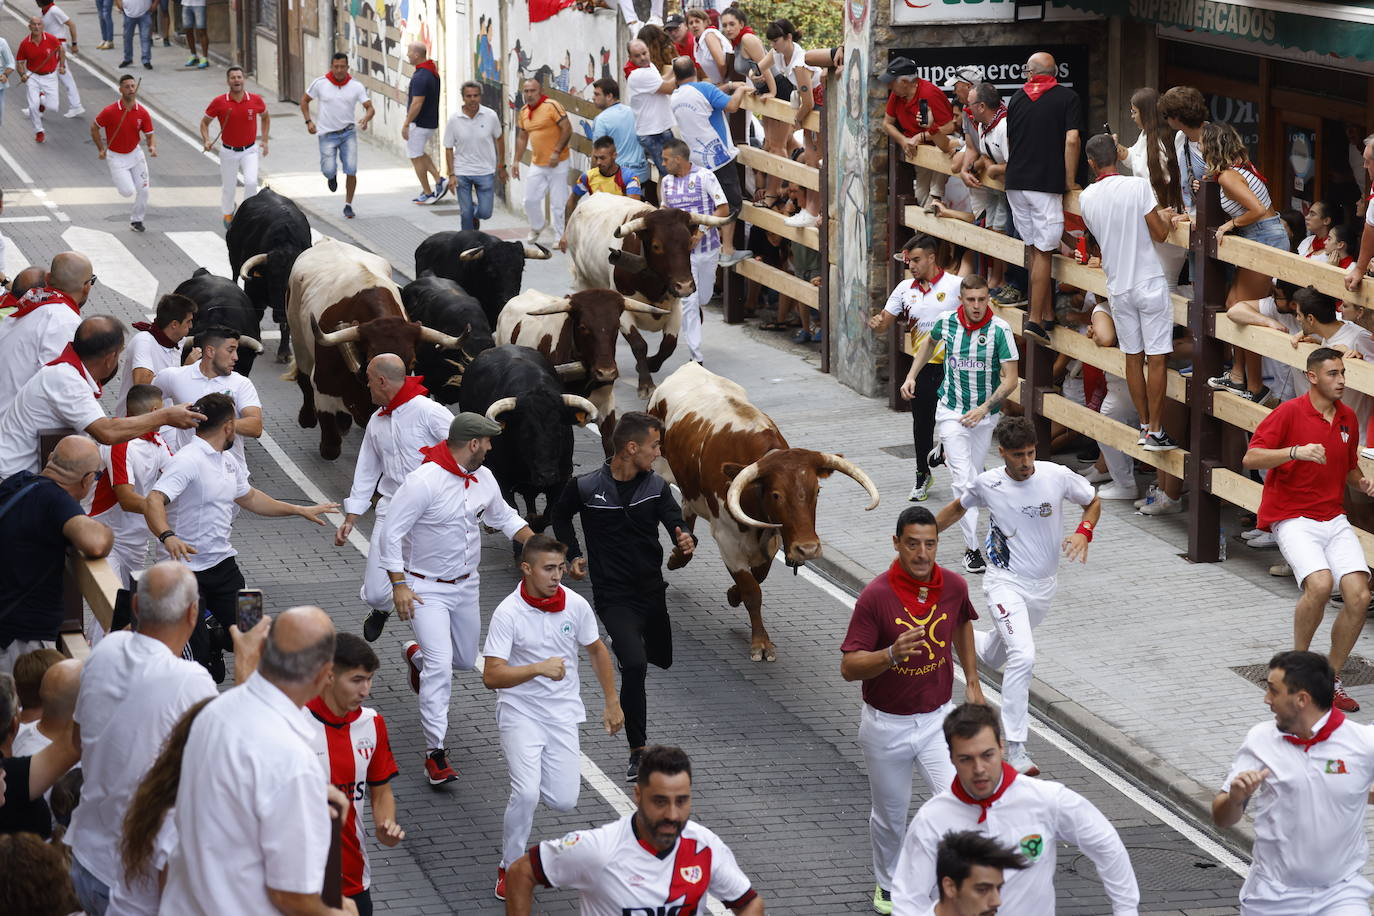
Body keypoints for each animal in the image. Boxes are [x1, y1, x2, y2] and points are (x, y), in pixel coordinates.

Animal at [287, 238, 464, 458]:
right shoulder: (324, 385)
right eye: (371, 359)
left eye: (412, 362)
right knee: (303, 377)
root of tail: (329, 241)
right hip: (298, 336)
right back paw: (308, 418)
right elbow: (330, 448)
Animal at [560, 193, 730, 395]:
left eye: (689, 243)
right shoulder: (623, 309)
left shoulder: (675, 308)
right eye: (656, 246)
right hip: (583, 279)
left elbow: (668, 345)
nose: (685, 286)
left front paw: (651, 364)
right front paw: (646, 384)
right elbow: (639, 344)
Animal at [651, 362, 884, 661]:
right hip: (659, 466)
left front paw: (732, 594)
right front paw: (761, 643)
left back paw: (680, 555)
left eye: (817, 491)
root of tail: (689, 366)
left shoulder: (772, 538)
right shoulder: (727, 539)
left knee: (687, 509)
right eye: (776, 495)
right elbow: (752, 589)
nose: (808, 549)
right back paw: (678, 557)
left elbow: (758, 577)